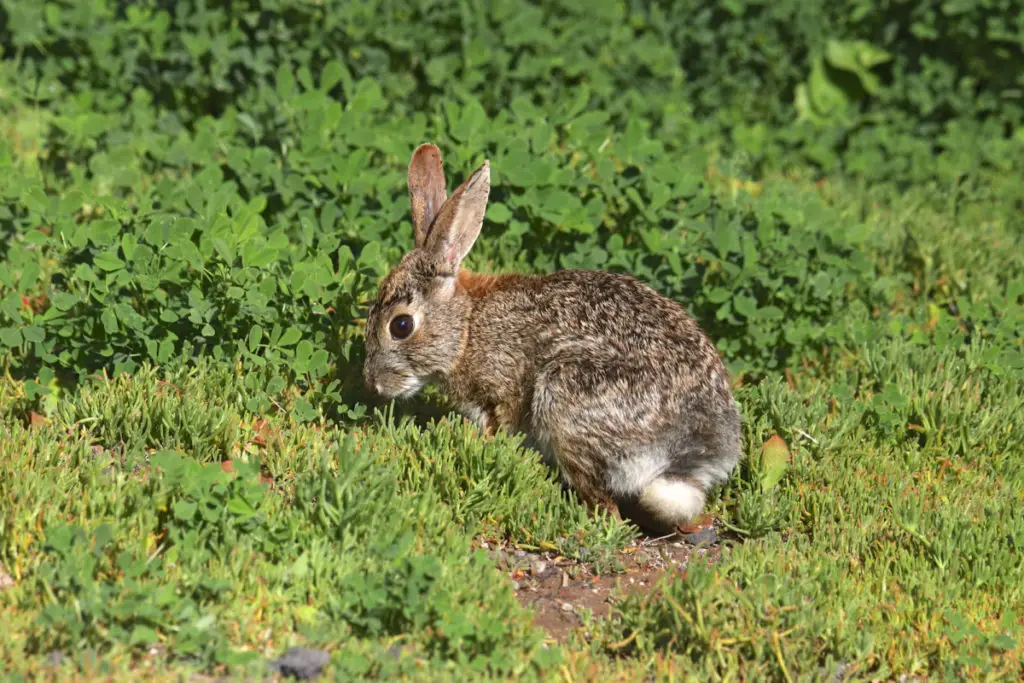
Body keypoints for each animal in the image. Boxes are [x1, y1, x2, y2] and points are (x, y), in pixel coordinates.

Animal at [364, 141, 741, 532]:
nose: (372, 383)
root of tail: (691, 443)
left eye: (401, 326)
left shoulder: (504, 390)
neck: (467, 328)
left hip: (565, 397)